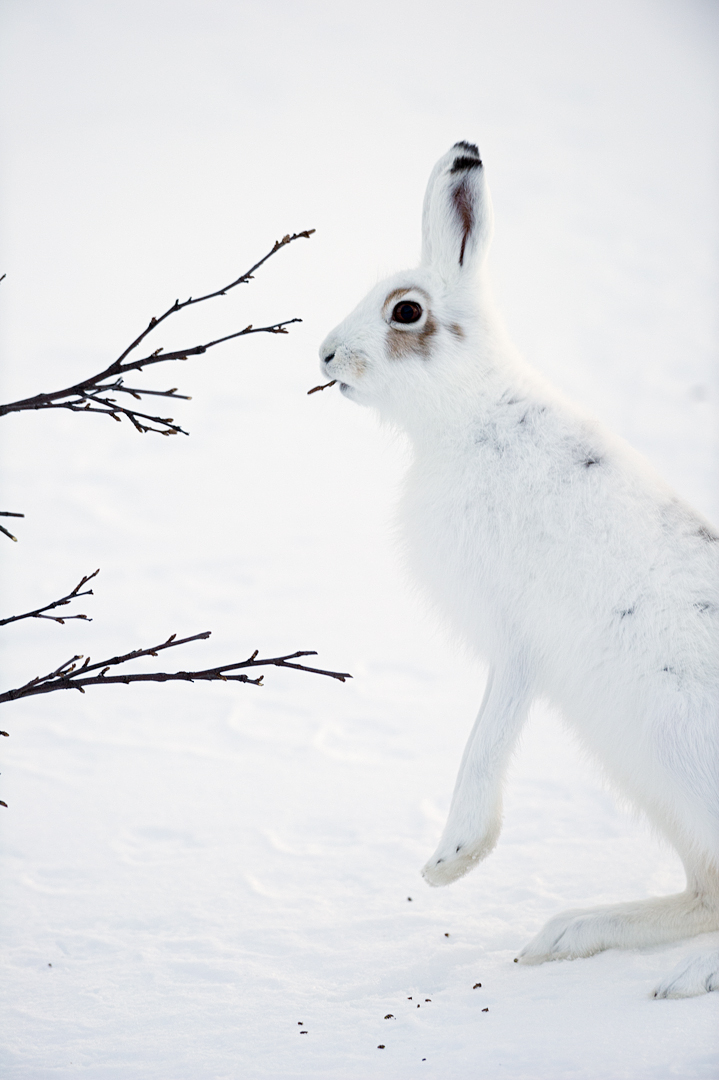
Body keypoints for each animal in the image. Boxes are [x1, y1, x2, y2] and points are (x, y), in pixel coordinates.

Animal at [318, 141, 719, 998]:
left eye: (405, 312)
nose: (325, 355)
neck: (467, 413)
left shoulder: (516, 642)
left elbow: (484, 738)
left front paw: (450, 861)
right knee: (705, 891)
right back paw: (570, 933)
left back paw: (683, 975)